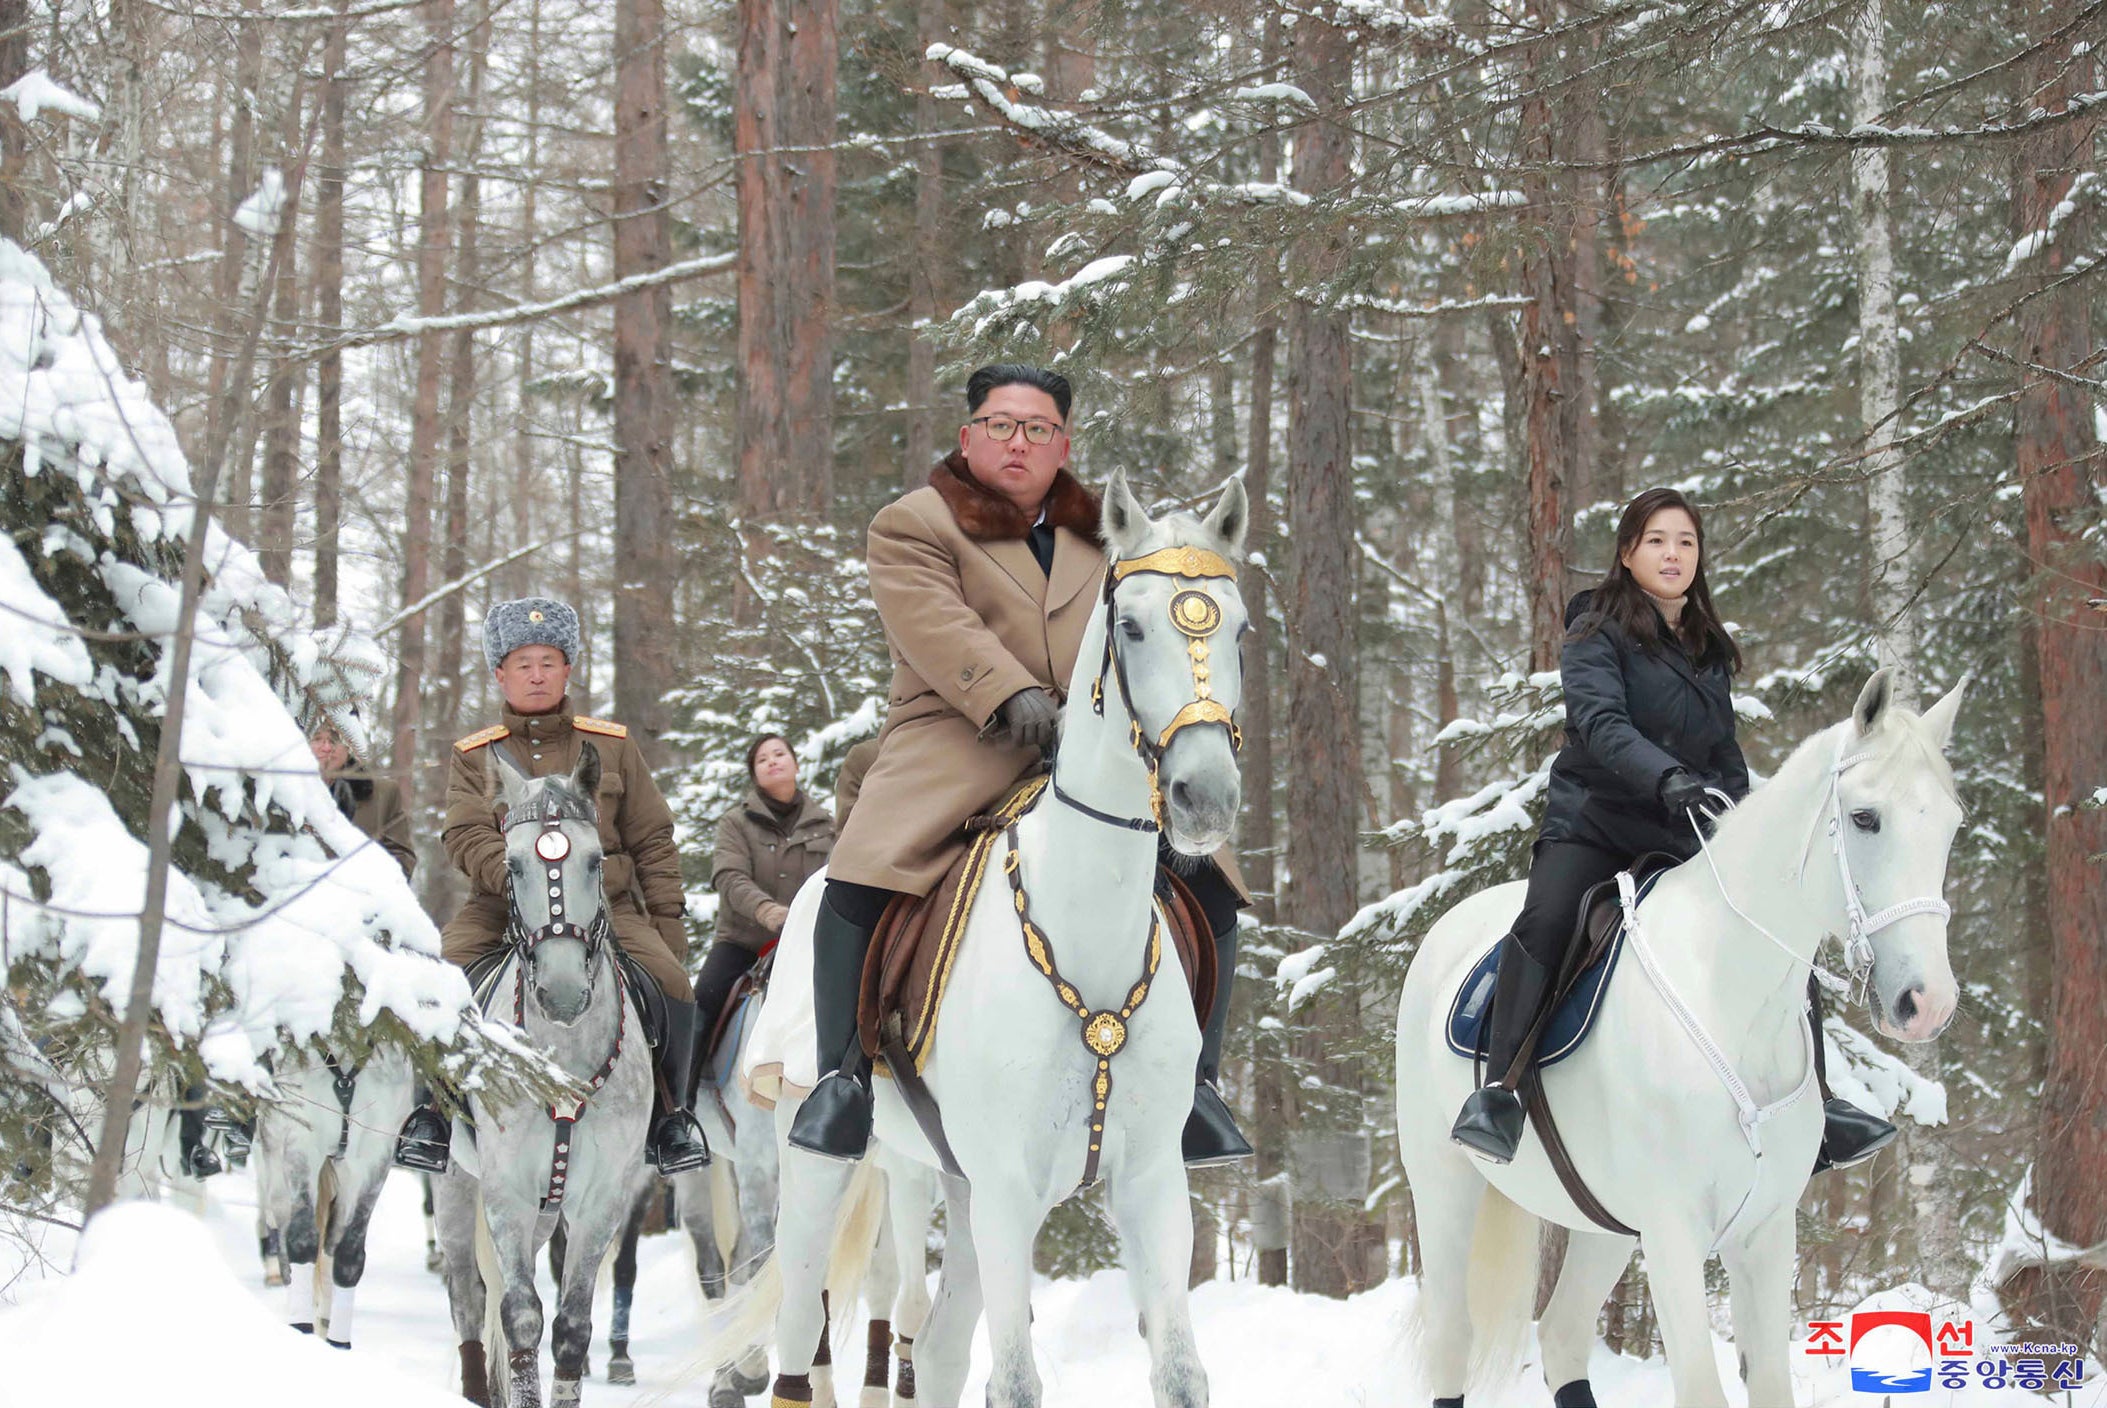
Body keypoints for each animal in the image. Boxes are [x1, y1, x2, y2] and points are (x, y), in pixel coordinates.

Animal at [251, 1049, 415, 1348]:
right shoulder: (301, 1139)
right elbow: (301, 1240)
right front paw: (300, 1327)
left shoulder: (375, 1155)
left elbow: (349, 1254)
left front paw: (339, 1344)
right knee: (280, 1226)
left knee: (329, 1244)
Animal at [431, 741, 653, 1399]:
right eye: (513, 865)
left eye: (596, 861)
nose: (561, 992)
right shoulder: (505, 1184)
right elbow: (520, 1314)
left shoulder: (605, 1194)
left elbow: (573, 1325)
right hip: (457, 1185)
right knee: (468, 1293)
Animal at [1390, 670, 1963, 1408]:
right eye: (1866, 818)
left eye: (1949, 824)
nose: (1928, 1003)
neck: (1728, 1002)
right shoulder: (1672, 1235)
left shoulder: (1763, 1233)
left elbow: (1768, 1384)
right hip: (1443, 1185)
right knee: (1453, 1337)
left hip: (1605, 1227)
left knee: (1562, 1334)